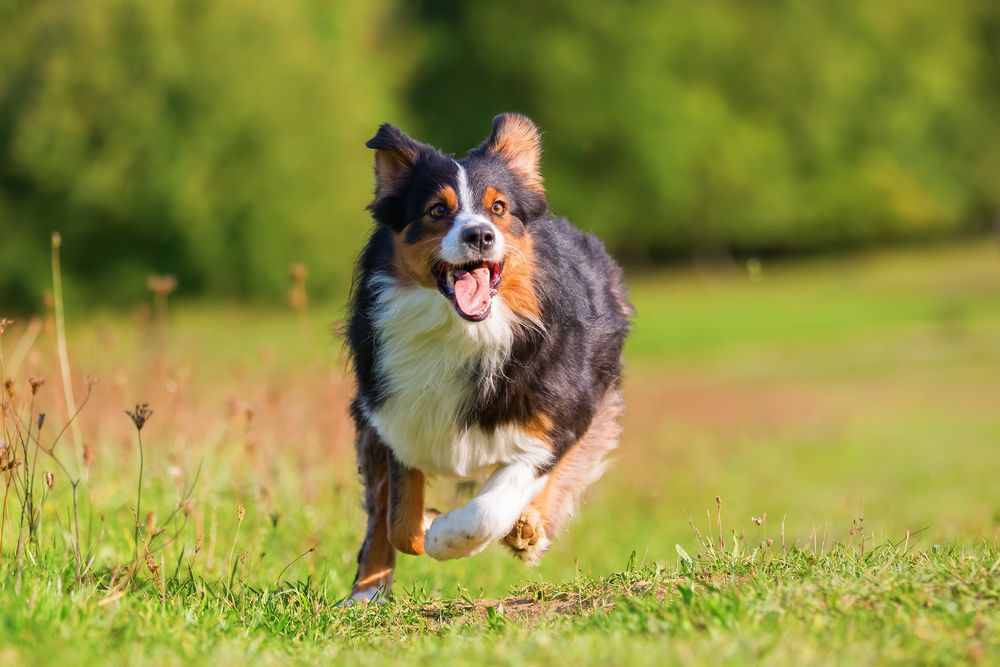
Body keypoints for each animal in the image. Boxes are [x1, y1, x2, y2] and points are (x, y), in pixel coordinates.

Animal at [340, 113, 628, 604]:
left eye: (499, 208)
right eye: (437, 210)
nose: (479, 234)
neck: (463, 331)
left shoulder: (561, 419)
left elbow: (491, 507)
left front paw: (447, 536)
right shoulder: (392, 417)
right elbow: (397, 521)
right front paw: (422, 527)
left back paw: (528, 527)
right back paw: (366, 592)